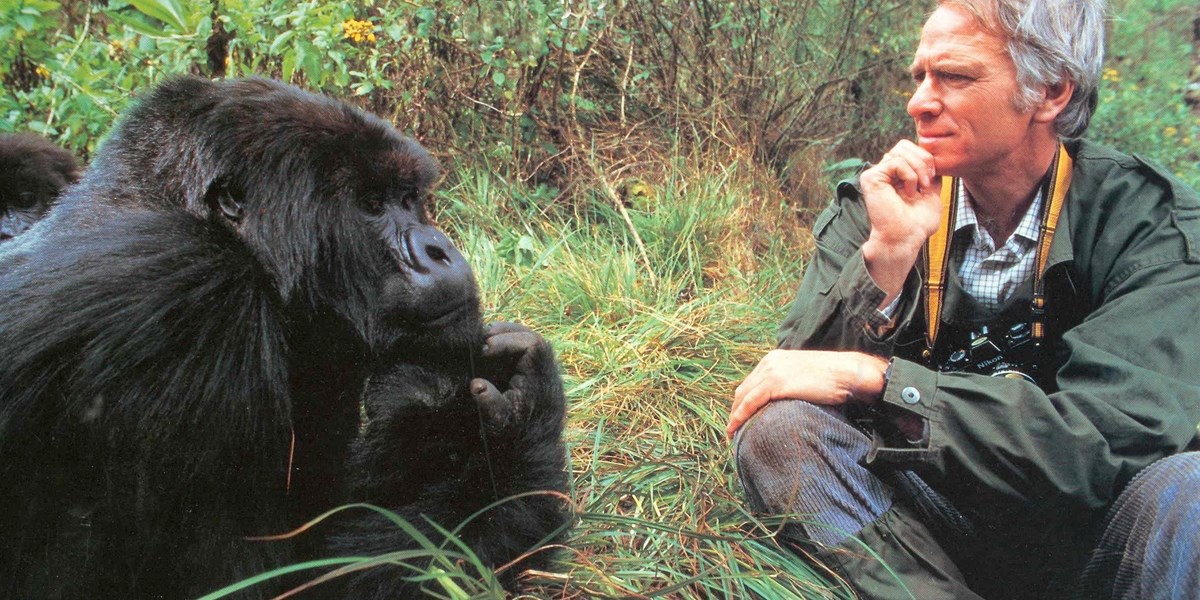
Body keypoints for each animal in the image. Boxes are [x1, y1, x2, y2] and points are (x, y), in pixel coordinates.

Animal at [0, 77, 568, 597]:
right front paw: (514, 436)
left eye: (408, 199)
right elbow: (276, 579)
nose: (438, 249)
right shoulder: (190, 296)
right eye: (370, 204)